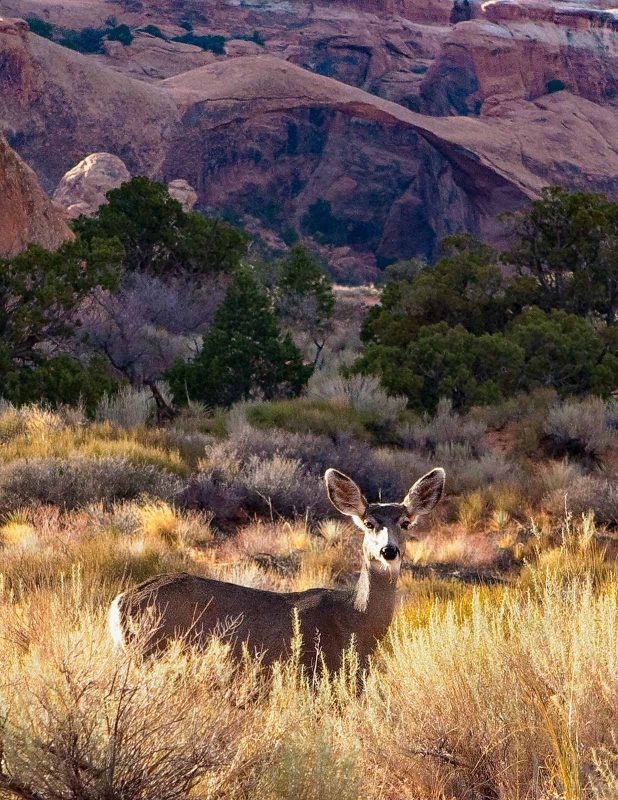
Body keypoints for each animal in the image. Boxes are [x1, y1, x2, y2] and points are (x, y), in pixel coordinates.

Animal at [109, 466, 442, 672]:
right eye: (369, 523)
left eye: (405, 523)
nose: (389, 550)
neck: (355, 619)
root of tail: (119, 601)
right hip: (150, 650)